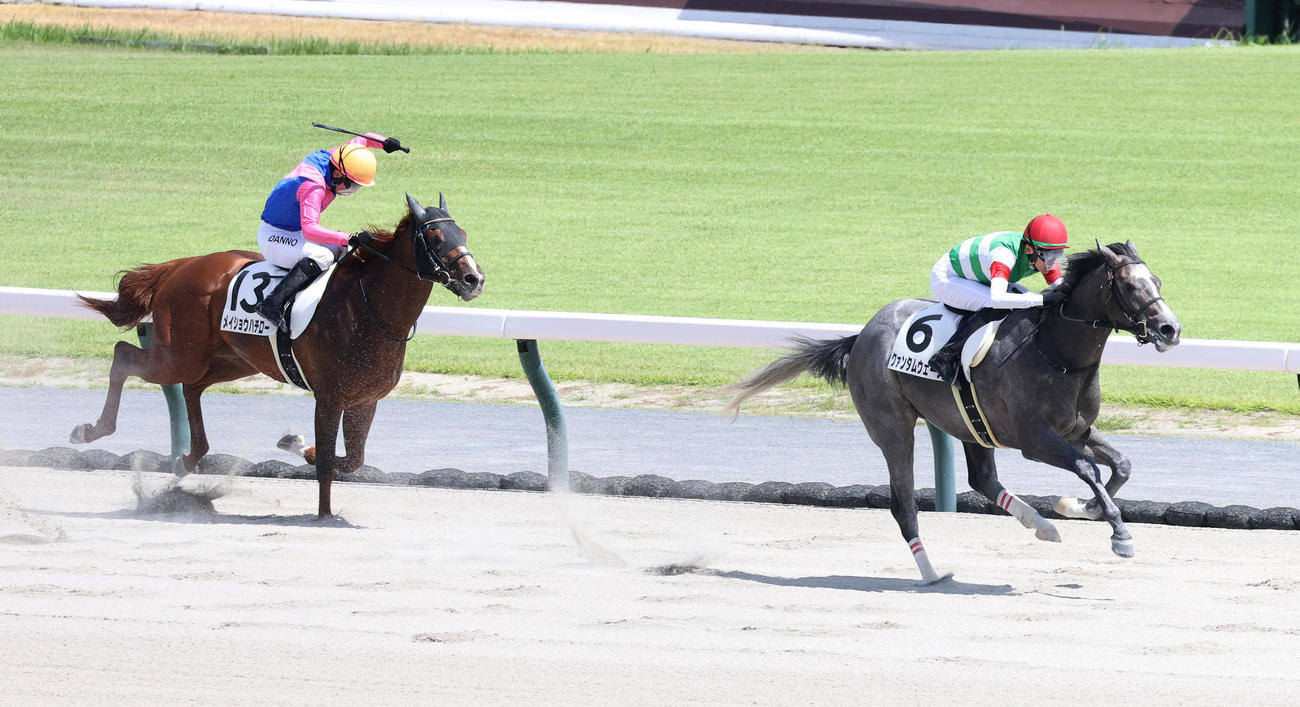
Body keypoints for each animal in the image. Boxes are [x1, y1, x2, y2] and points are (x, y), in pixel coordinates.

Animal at [71, 194, 484, 517]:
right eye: (434, 235)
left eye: (462, 233)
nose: (473, 279)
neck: (369, 308)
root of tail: (180, 265)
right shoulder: (329, 397)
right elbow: (330, 461)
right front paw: (323, 513)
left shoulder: (364, 399)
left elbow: (352, 460)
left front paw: (296, 443)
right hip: (178, 354)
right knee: (125, 356)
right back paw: (92, 430)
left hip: (232, 359)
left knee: (191, 386)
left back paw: (188, 458)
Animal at [729, 241, 1181, 583]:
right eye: (1129, 284)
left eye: (1157, 281)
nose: (1170, 329)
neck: (1056, 351)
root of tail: (861, 335)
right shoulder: (1035, 440)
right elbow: (1088, 468)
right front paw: (1119, 534)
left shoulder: (1076, 429)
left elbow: (1120, 465)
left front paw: (1077, 508)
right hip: (893, 427)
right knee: (904, 504)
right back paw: (931, 573)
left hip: (969, 424)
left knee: (982, 479)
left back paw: (1043, 526)